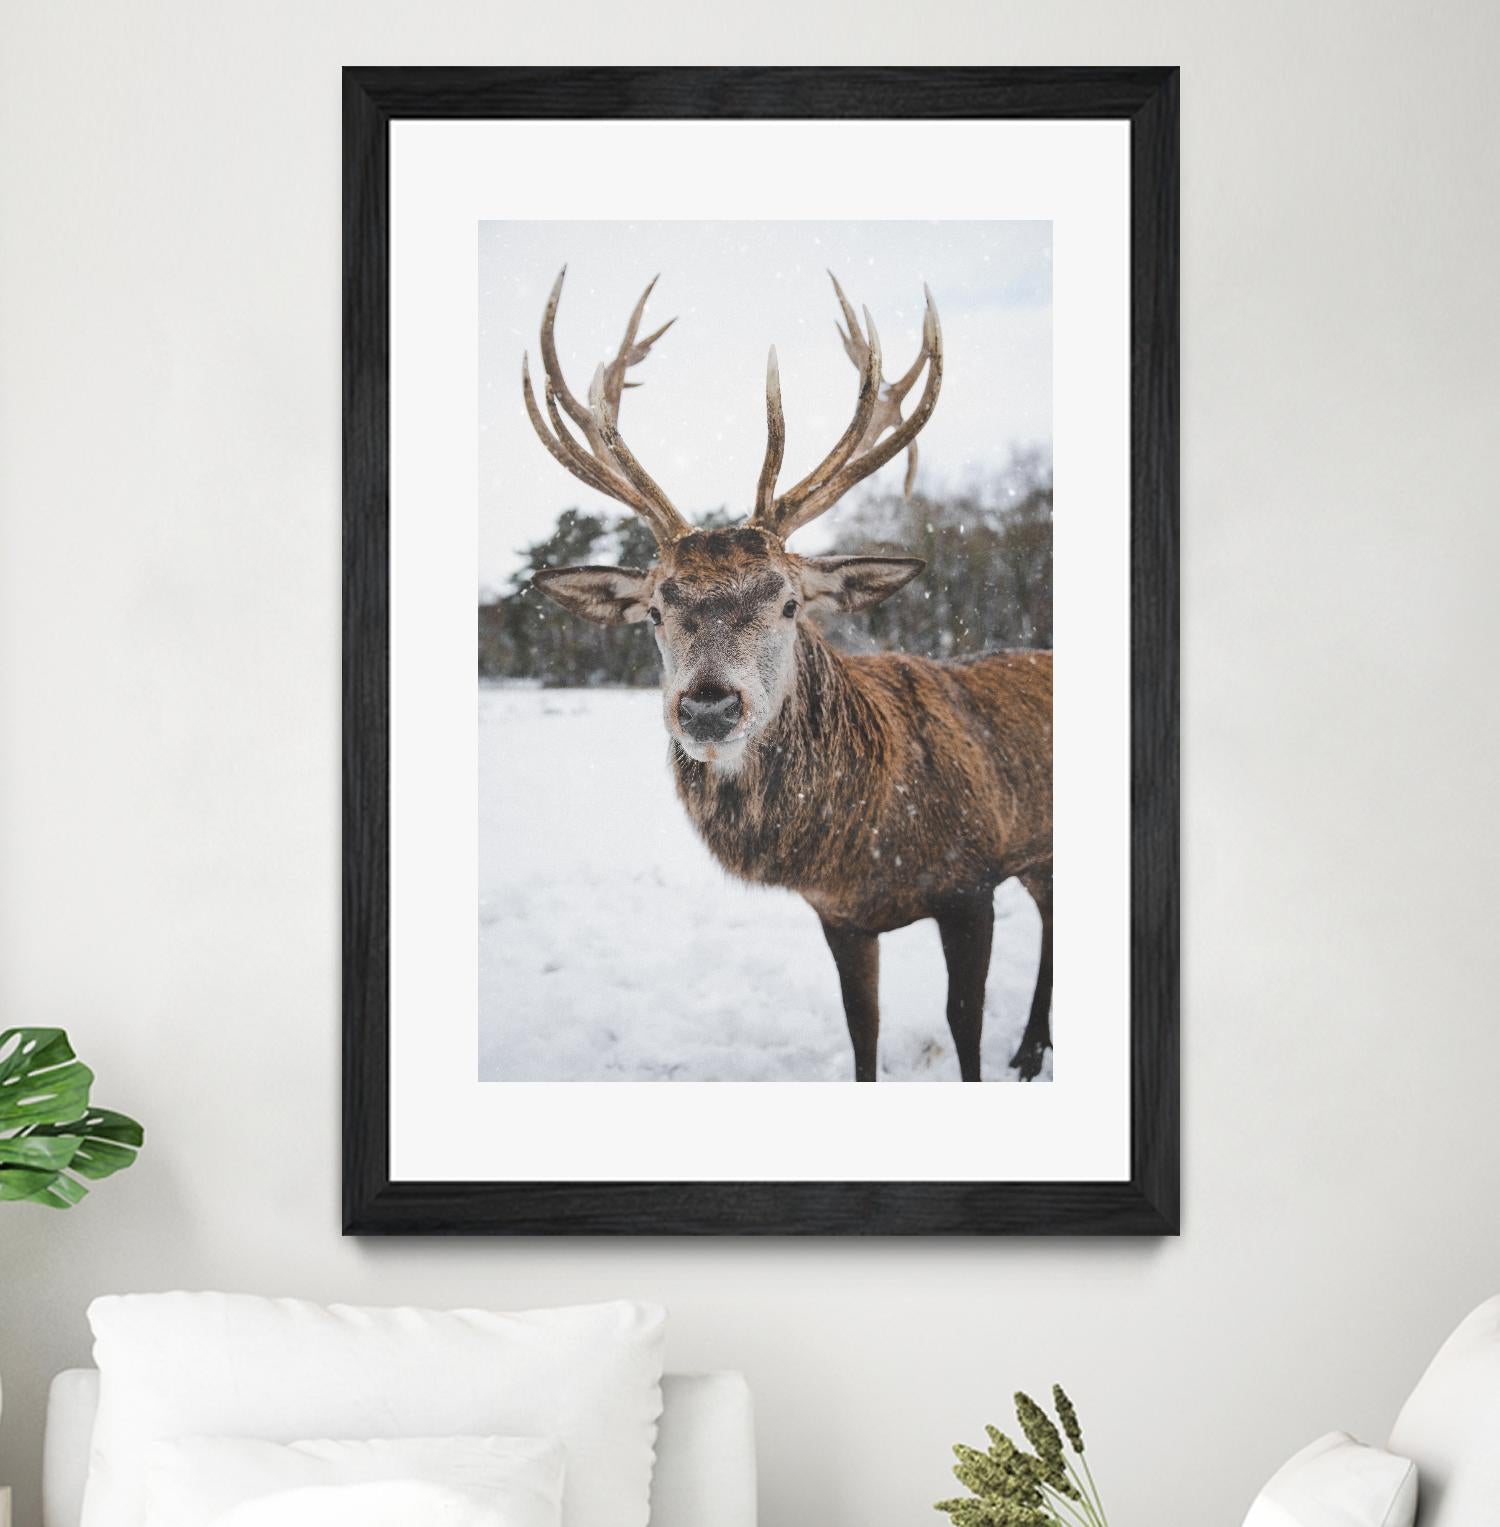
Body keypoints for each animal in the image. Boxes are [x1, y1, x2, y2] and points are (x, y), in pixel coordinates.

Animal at [521, 268, 1053, 1081]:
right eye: (655, 610)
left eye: (790, 602)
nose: (709, 708)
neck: (868, 844)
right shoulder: (838, 915)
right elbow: (862, 1029)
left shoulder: (972, 881)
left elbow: (963, 1027)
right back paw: (1030, 1046)